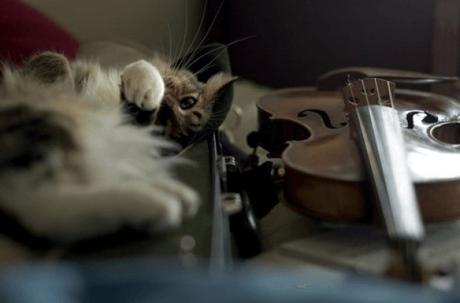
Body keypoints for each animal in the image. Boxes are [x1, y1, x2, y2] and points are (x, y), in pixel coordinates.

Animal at [0, 51, 237, 243]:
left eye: (164, 129)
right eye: (188, 102)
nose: (163, 107)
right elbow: (56, 59)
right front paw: (145, 82)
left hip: (36, 125)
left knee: (42, 208)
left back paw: (156, 200)